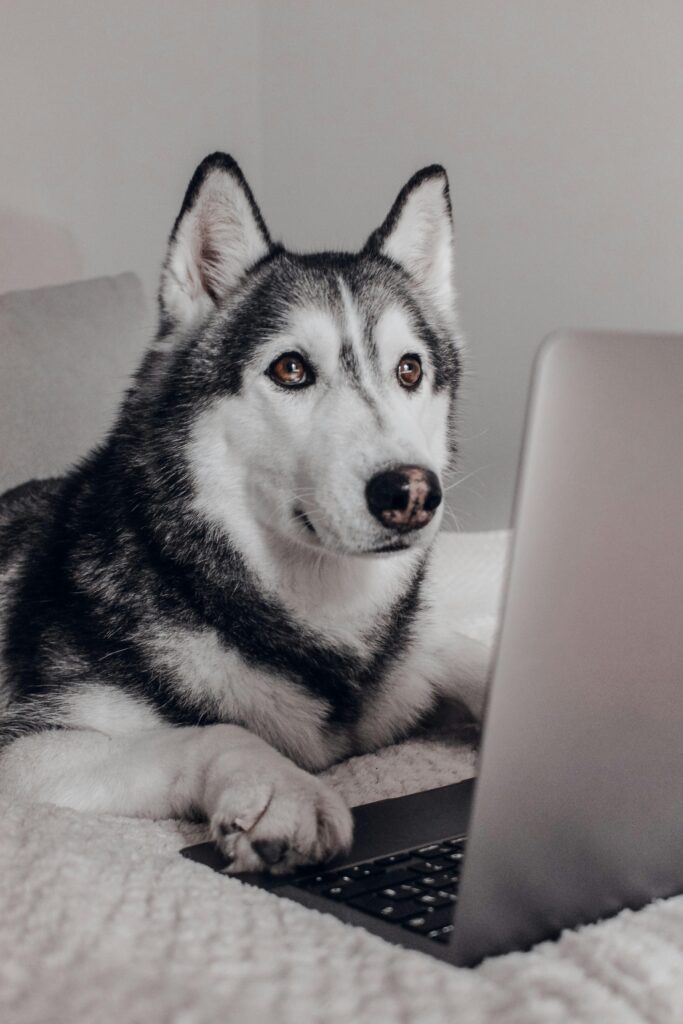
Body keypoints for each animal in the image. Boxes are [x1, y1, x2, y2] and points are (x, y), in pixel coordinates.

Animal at [0, 153, 491, 872]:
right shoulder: (26, 748)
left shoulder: (408, 663)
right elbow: (214, 731)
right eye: (290, 369)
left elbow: (468, 652)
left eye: (409, 370)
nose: (411, 493)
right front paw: (283, 791)